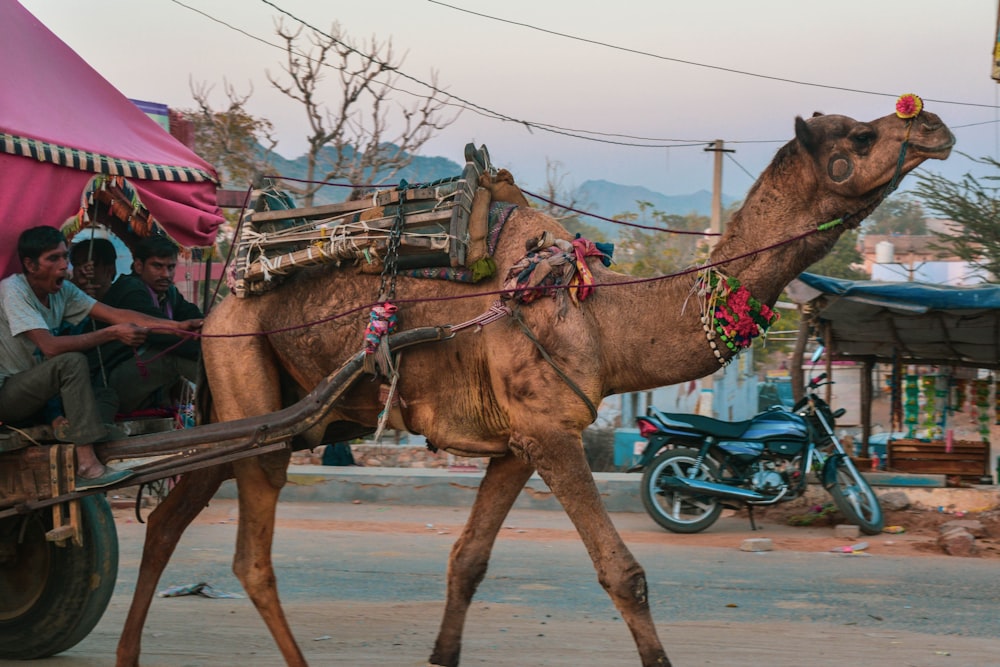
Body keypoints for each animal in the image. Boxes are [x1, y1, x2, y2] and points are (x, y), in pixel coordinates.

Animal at [115, 105, 952, 667]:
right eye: (860, 137)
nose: (935, 125)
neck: (603, 315)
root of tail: (221, 300)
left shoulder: (517, 444)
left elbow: (467, 560)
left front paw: (442, 653)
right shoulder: (552, 432)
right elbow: (625, 573)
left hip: (252, 409)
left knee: (170, 520)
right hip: (251, 392)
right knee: (248, 557)